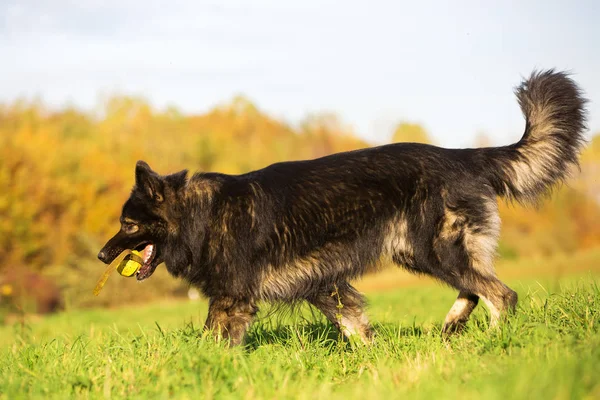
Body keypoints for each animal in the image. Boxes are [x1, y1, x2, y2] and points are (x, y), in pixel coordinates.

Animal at [97, 70, 584, 346]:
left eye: (128, 224)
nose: (101, 255)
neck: (203, 215)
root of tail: (463, 155)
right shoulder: (322, 284)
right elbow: (355, 323)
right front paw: (371, 358)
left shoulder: (233, 298)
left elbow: (211, 341)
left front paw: (205, 368)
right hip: (422, 253)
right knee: (475, 287)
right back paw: (451, 328)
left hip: (435, 250)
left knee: (501, 295)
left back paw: (490, 342)